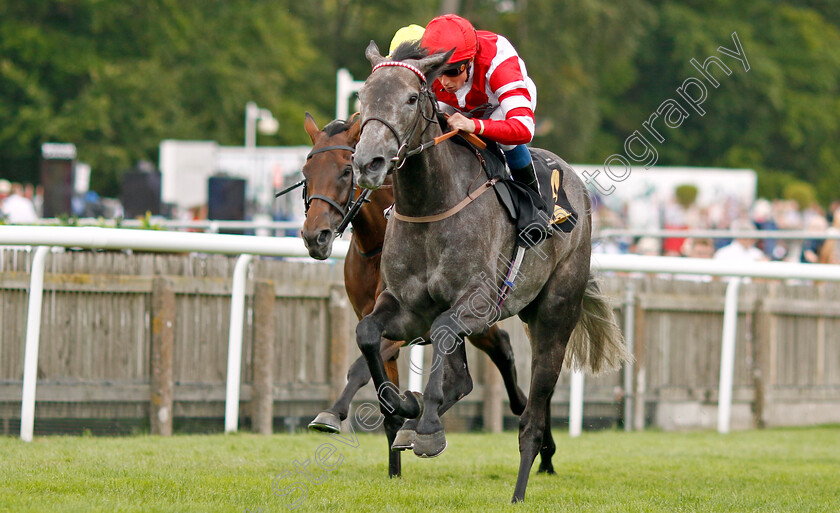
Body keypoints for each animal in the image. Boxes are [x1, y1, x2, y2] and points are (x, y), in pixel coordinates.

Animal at [298, 111, 528, 476]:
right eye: (306, 174)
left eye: (346, 171)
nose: (314, 236)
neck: (376, 245)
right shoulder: (380, 318)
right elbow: (381, 390)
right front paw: (395, 467)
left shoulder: (409, 327)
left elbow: (360, 368)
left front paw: (333, 413)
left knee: (502, 346)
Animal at [350, 41, 632, 504]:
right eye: (363, 98)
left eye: (410, 98)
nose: (368, 162)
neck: (430, 205)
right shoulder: (404, 306)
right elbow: (368, 334)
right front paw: (403, 406)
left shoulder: (477, 304)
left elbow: (445, 328)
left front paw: (427, 427)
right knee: (464, 380)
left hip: (554, 317)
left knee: (531, 417)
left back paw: (519, 490)